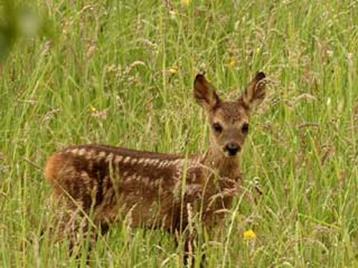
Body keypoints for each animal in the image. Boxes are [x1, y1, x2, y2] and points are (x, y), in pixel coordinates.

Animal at [44, 70, 266, 264]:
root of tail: (52, 163)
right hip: (75, 208)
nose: (232, 147)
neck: (206, 177)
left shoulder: (209, 226)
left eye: (245, 126)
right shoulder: (183, 221)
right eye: (217, 126)